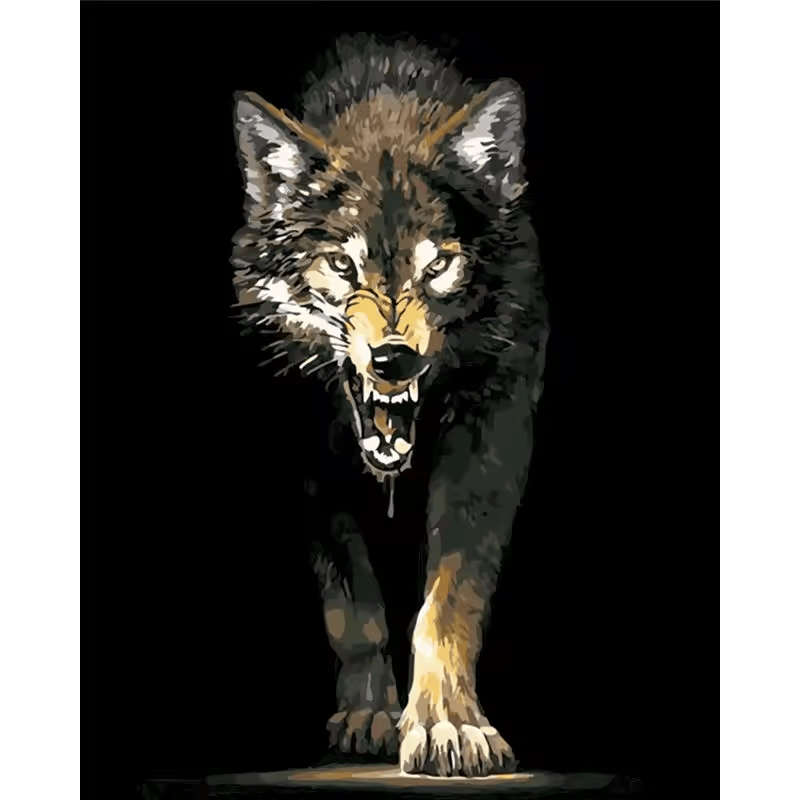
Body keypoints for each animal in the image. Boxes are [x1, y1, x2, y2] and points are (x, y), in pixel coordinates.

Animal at [231, 34, 548, 777]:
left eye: (437, 266)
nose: (392, 360)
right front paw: (370, 715)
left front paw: (448, 724)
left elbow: (449, 602)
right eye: (343, 266)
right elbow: (355, 606)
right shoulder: (308, 461)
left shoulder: (493, 435)